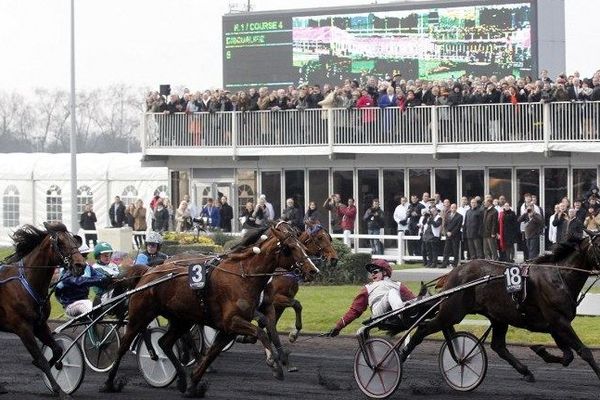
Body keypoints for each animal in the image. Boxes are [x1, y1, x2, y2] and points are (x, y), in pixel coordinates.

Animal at [0, 222, 86, 396]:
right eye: (60, 243)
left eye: (75, 240)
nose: (80, 265)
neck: (27, 283)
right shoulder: (23, 328)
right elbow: (41, 359)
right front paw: (57, 389)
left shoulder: (40, 325)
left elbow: (57, 349)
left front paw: (56, 365)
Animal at [101, 222, 318, 396]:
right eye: (290, 247)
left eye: (302, 244)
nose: (313, 270)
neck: (243, 276)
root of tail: (149, 271)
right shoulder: (233, 321)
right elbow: (261, 332)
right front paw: (274, 364)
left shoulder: (229, 328)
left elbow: (213, 353)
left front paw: (193, 385)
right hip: (141, 314)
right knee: (124, 345)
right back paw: (110, 382)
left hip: (181, 319)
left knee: (165, 342)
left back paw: (180, 378)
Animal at [396, 236, 600, 382]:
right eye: (598, 244)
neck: (558, 276)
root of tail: (454, 272)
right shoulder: (558, 321)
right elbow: (584, 352)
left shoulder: (555, 326)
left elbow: (568, 356)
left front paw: (540, 350)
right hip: (452, 312)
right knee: (423, 328)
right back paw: (401, 356)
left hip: (498, 317)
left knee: (498, 346)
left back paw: (525, 371)